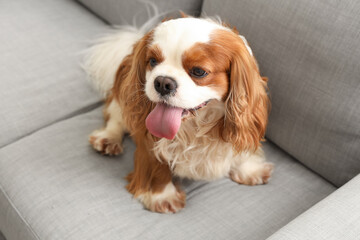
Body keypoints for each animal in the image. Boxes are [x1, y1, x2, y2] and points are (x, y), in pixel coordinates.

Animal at [86, 15, 272, 213]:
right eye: (152, 61)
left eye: (198, 71)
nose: (162, 82)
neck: (195, 126)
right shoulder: (149, 139)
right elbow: (157, 164)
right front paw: (161, 196)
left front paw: (249, 168)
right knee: (115, 116)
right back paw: (108, 138)